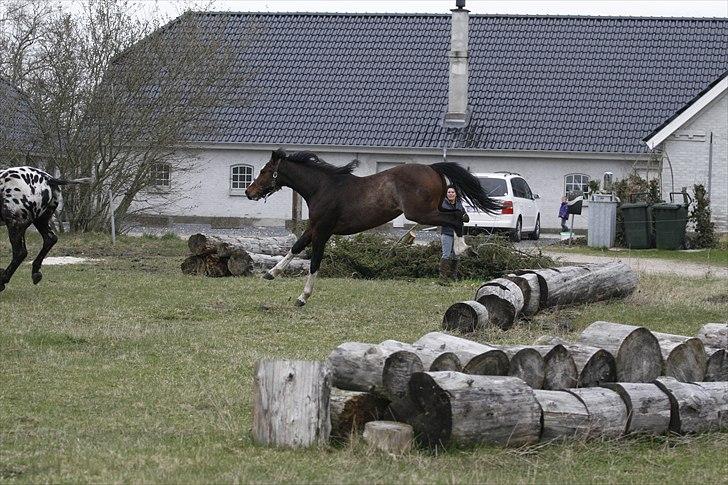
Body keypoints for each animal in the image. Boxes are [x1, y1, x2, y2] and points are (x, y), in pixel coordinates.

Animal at [245, 149, 500, 304]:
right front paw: (271, 273)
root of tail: (432, 168)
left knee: (456, 219)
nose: (249, 192)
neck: (322, 187)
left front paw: (303, 297)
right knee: (459, 216)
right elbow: (295, 248)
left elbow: (314, 262)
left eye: (265, 171)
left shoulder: (323, 232)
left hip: (421, 212)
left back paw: (463, 249)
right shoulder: (314, 228)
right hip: (432, 209)